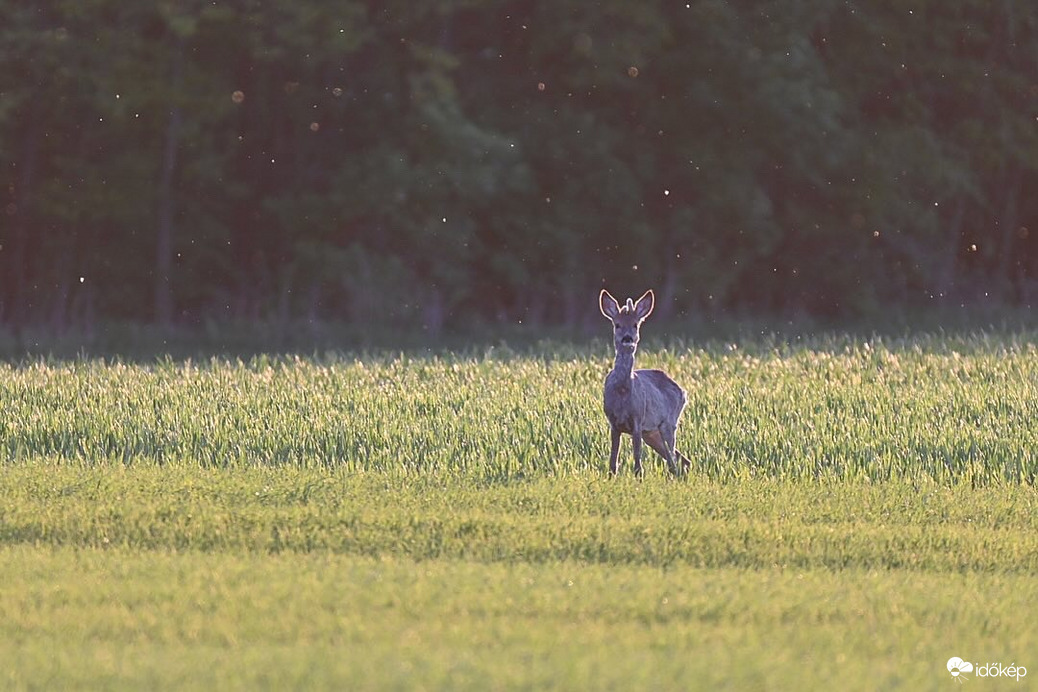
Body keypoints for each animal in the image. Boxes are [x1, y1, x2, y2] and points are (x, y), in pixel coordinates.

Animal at [602, 288, 689, 477]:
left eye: (635, 324)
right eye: (617, 324)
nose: (627, 338)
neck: (622, 391)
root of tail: (683, 392)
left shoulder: (637, 419)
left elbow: (637, 459)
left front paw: (638, 477)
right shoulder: (613, 423)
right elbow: (613, 460)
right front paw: (611, 477)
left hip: (668, 424)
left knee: (673, 459)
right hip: (651, 433)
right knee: (680, 459)